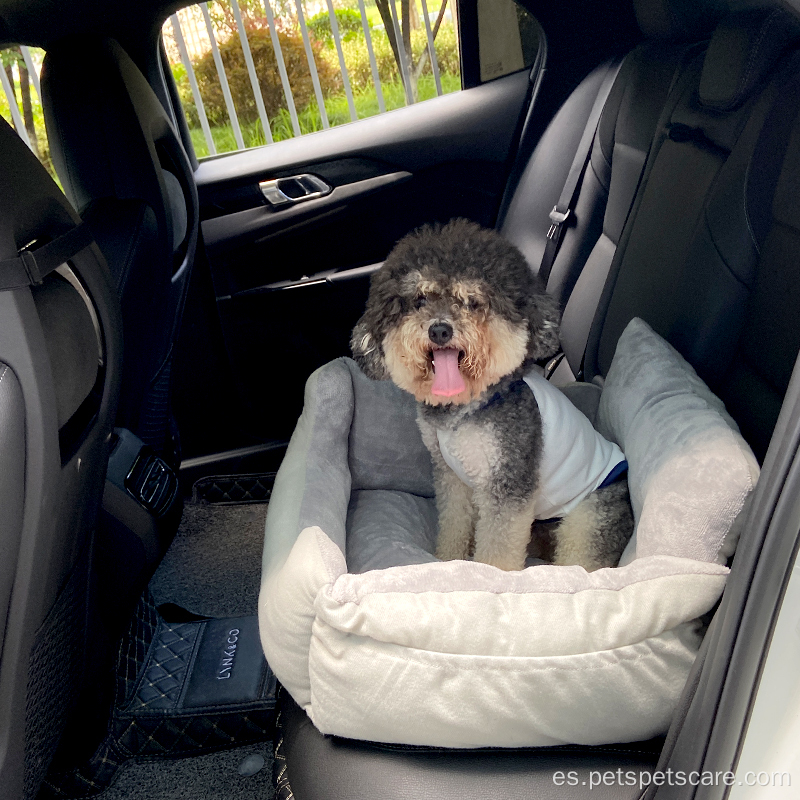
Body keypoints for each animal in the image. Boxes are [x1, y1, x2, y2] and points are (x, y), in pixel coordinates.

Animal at [354, 219, 636, 568]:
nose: (439, 329)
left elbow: (498, 551)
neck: (465, 408)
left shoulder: (507, 484)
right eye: (419, 299)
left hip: (590, 518)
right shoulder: (453, 476)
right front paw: (449, 559)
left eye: (473, 301)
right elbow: (454, 522)